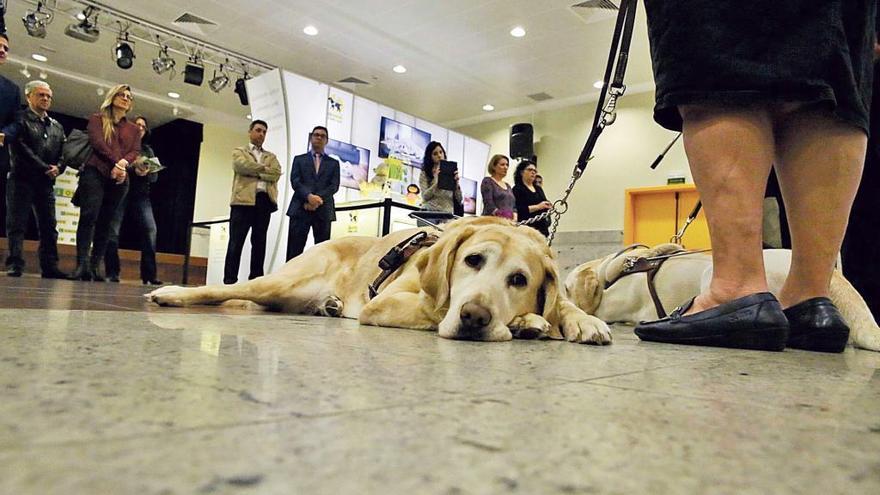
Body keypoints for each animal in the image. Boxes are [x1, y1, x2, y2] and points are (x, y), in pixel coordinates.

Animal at [148, 217, 612, 344]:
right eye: (472, 260)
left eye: (518, 279)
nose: (476, 318)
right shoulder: (386, 302)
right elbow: (437, 306)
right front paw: (527, 322)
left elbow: (563, 302)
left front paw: (578, 320)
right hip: (275, 282)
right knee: (226, 289)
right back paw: (170, 293)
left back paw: (329, 306)